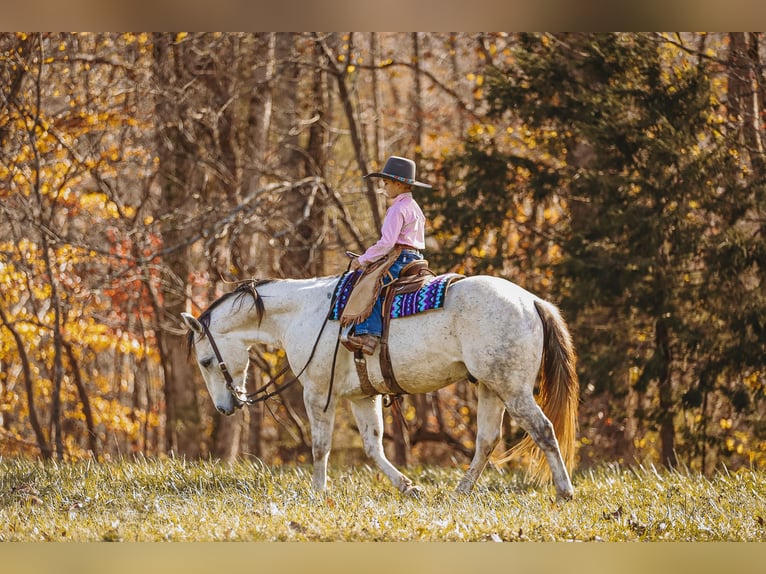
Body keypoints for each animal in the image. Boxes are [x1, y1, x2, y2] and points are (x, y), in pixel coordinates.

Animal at [183, 274, 584, 500]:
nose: (225, 407)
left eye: (205, 361)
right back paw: (460, 492)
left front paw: (317, 494)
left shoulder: (318, 394)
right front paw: (409, 487)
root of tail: (531, 300)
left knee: (543, 430)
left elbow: (320, 447)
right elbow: (373, 448)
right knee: (486, 442)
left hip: (513, 390)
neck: (304, 314)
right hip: (490, 388)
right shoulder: (363, 397)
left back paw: (564, 491)